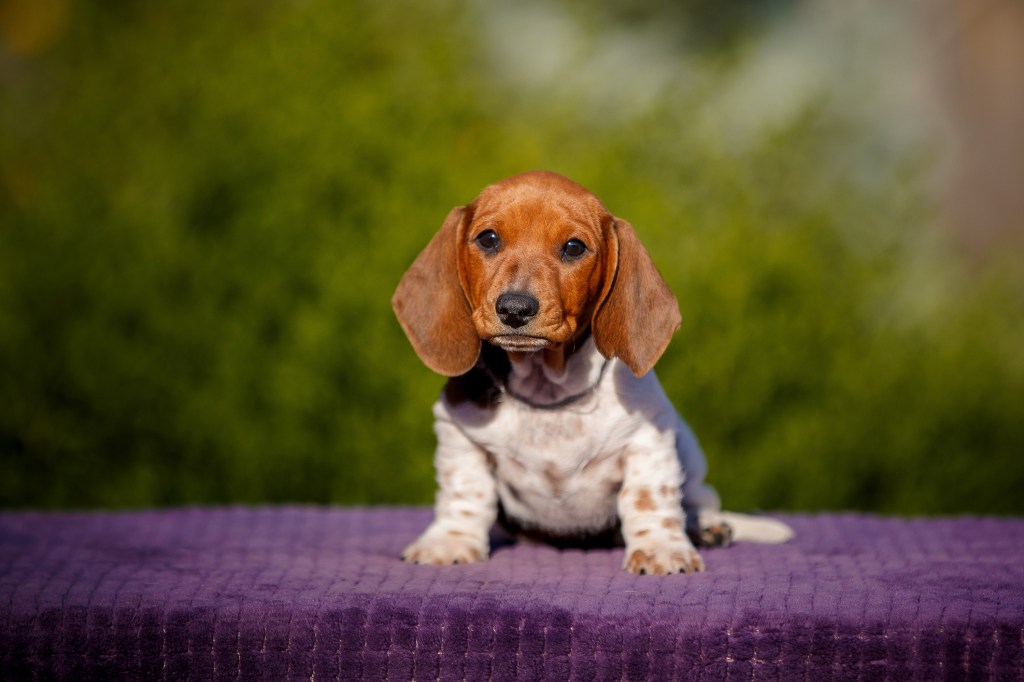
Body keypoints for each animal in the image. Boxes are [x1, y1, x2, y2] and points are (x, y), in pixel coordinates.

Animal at [391, 171, 790, 573]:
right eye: (488, 239)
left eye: (573, 247)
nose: (515, 308)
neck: (546, 390)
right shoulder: (459, 434)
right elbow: (465, 491)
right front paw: (450, 540)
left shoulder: (649, 437)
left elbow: (649, 497)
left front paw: (661, 548)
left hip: (691, 453)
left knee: (698, 497)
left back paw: (706, 526)